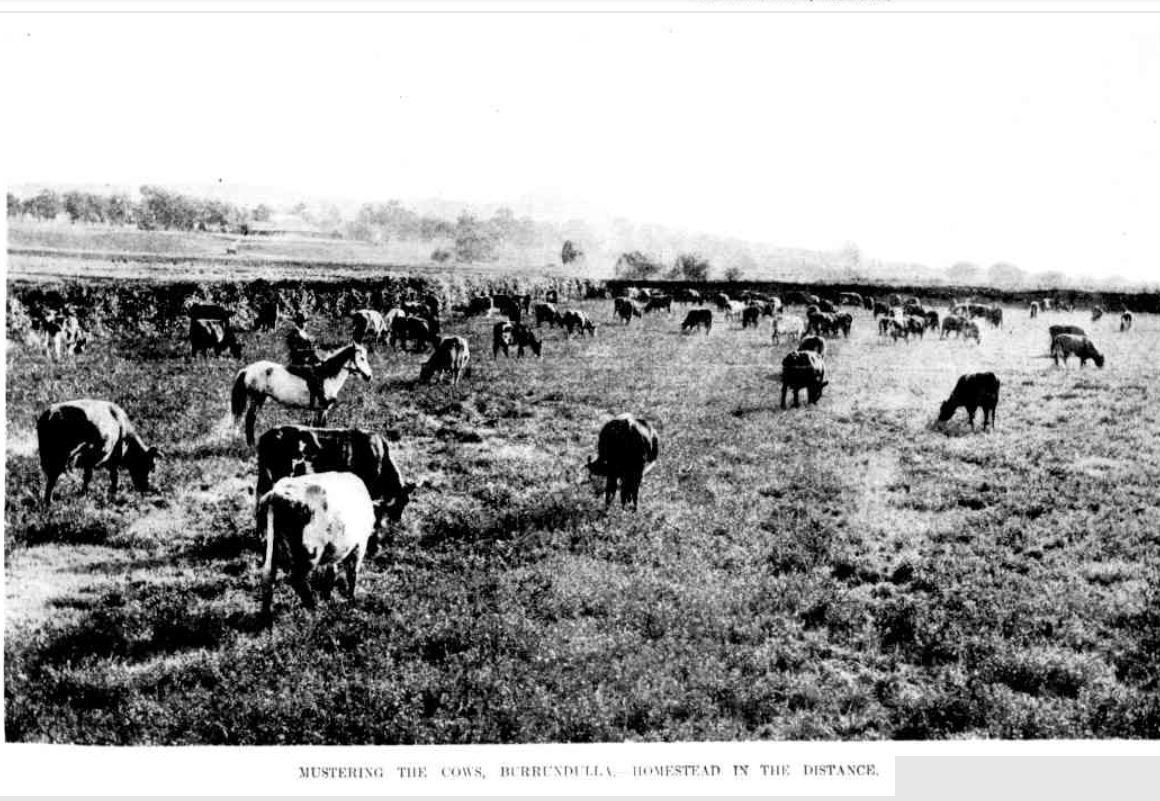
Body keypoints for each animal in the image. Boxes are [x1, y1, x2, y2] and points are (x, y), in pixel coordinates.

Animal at [226, 343, 371, 447]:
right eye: (362, 358)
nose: (369, 376)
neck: (326, 376)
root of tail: (247, 370)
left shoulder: (319, 410)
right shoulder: (323, 409)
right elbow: (322, 428)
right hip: (257, 398)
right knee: (250, 419)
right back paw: (251, 445)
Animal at [257, 472, 375, 621]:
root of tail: (276, 493)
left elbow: (332, 572)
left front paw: (328, 597)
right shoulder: (360, 545)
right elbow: (352, 575)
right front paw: (352, 602)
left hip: (271, 544)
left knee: (268, 575)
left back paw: (266, 615)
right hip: (310, 550)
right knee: (297, 579)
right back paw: (313, 609)